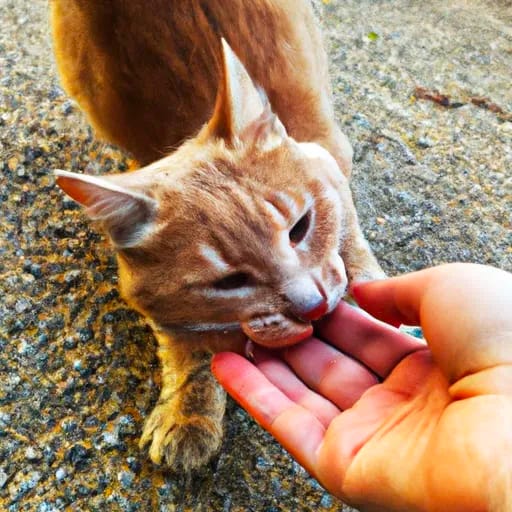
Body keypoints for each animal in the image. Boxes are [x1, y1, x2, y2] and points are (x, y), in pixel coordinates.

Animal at [50, 1, 384, 472]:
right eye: (229, 282)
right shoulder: (152, 302)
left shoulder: (329, 160)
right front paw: (188, 412)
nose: (313, 307)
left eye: (301, 227)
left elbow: (349, 240)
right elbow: (187, 348)